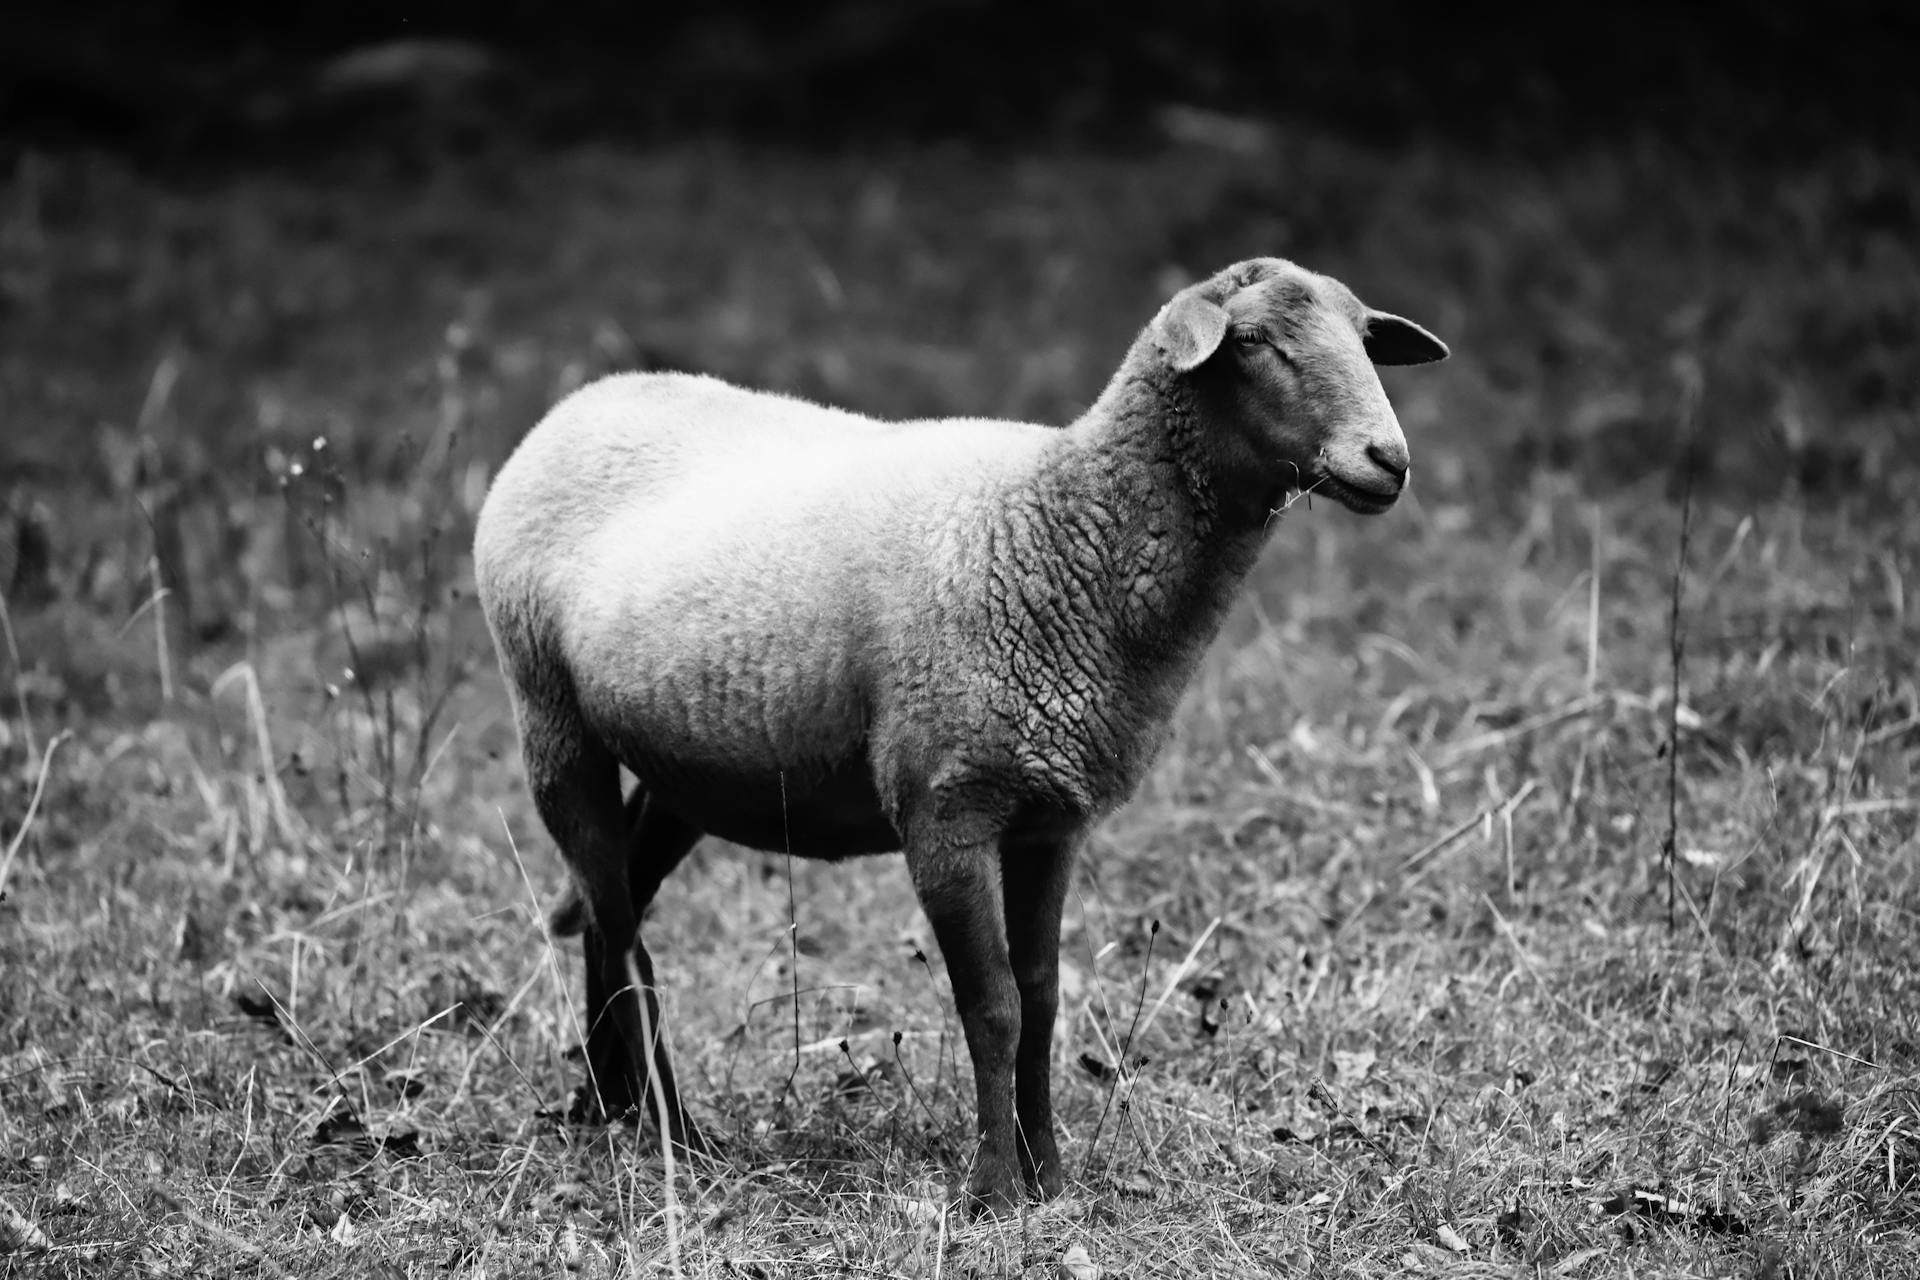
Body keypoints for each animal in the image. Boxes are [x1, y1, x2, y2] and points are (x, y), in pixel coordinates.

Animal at [472, 255, 1443, 1220]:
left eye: (1365, 341)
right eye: (1253, 342)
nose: (1388, 460)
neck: (1060, 529)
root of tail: (586, 398)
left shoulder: (1052, 817)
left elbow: (1043, 999)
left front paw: (1049, 1177)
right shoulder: (947, 809)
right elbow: (993, 1007)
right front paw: (990, 1192)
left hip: (692, 765)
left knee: (613, 913)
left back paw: (611, 1106)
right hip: (550, 717)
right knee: (620, 923)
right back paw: (673, 1136)